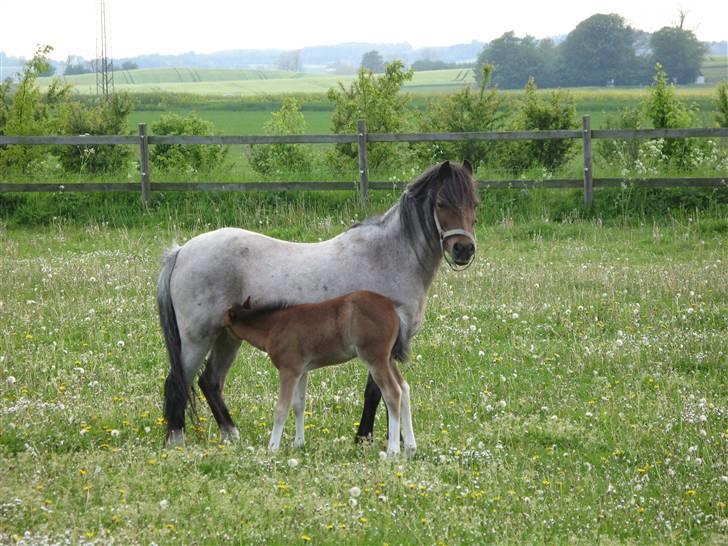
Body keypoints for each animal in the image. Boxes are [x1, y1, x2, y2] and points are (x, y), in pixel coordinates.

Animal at [222, 288, 416, 454]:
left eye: (225, 323)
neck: (273, 327)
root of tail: (394, 309)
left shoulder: (288, 370)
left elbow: (281, 408)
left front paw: (273, 447)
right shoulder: (301, 371)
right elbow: (299, 405)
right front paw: (299, 443)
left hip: (376, 359)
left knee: (393, 392)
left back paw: (393, 451)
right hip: (389, 359)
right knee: (404, 388)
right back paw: (410, 449)